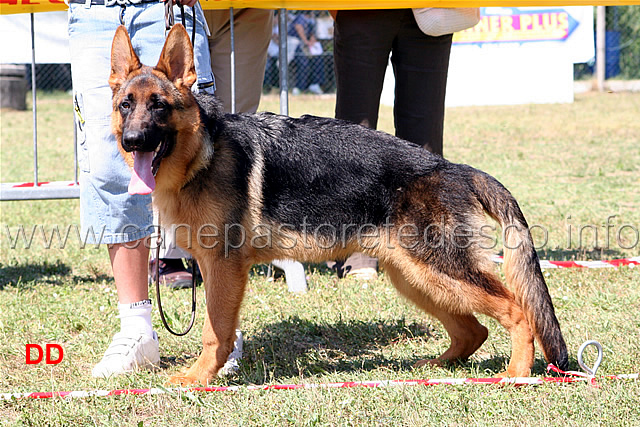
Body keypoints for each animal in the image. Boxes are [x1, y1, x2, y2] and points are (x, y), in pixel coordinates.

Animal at [110, 25, 568, 386]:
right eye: (125, 105)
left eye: (159, 105)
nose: (132, 141)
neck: (201, 154)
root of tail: (453, 168)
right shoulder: (214, 268)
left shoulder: (223, 268)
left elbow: (215, 331)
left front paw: (198, 378)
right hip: (416, 277)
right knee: (472, 330)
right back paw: (434, 368)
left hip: (438, 271)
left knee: (517, 309)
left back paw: (516, 373)